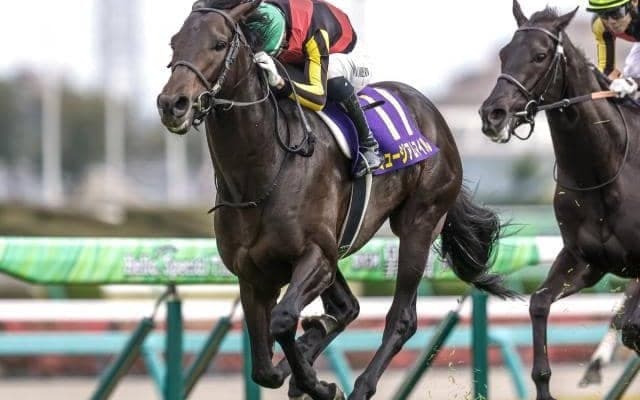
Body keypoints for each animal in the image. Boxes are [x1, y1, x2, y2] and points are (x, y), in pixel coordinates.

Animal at [157, 1, 517, 399]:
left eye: (219, 44)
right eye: (174, 43)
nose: (172, 103)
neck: (260, 174)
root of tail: (433, 113)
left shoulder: (315, 255)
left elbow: (283, 321)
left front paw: (319, 383)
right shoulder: (254, 276)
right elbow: (264, 368)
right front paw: (306, 362)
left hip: (419, 224)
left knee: (402, 318)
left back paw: (359, 385)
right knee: (348, 307)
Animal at [480, 1, 640, 399]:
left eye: (540, 55)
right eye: (503, 53)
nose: (493, 115)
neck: (604, 171)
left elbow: (631, 327)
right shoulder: (583, 259)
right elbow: (538, 304)